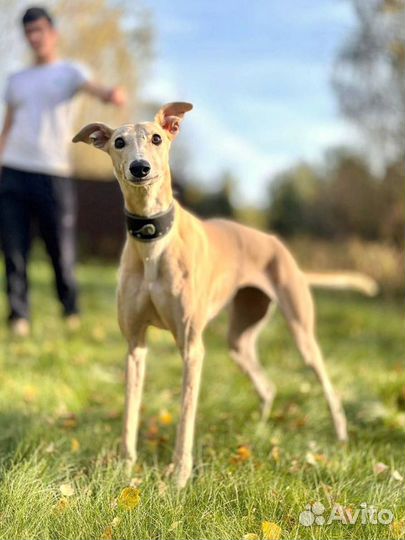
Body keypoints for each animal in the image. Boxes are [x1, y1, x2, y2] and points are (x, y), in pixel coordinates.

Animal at [72, 103, 376, 488]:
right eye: (118, 142)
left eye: (157, 138)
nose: (140, 168)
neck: (154, 240)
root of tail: (281, 248)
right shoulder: (134, 346)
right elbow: (130, 412)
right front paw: (126, 468)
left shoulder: (192, 348)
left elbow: (186, 417)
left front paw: (179, 477)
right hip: (241, 337)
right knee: (267, 386)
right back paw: (259, 430)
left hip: (301, 332)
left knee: (326, 384)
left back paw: (340, 436)